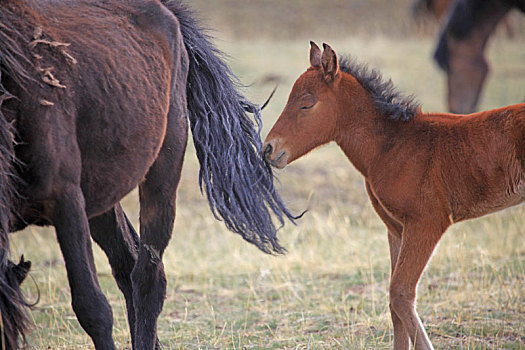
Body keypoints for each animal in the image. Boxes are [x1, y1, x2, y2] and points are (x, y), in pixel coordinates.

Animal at [0, 1, 294, 348]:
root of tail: (168, 11)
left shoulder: (64, 200)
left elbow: (92, 307)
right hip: (101, 195)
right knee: (128, 264)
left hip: (161, 175)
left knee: (147, 278)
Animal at [262, 42, 524, 348]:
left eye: (306, 103)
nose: (268, 149)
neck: (393, 145)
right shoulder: (396, 228)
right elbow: (393, 302)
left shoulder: (427, 223)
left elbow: (400, 293)